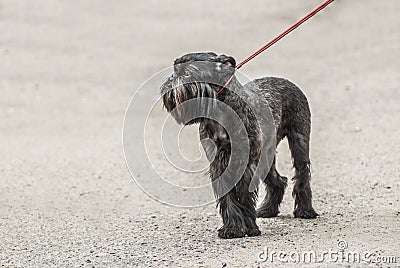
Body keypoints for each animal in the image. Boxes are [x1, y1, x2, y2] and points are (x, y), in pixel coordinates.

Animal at [160, 52, 318, 239]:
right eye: (175, 71)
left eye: (187, 73)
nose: (170, 81)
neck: (220, 113)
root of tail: (287, 82)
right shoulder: (219, 164)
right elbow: (229, 199)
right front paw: (232, 228)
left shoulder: (246, 164)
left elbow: (244, 197)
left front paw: (249, 228)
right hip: (266, 157)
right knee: (279, 180)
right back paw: (268, 210)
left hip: (299, 142)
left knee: (302, 174)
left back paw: (305, 210)